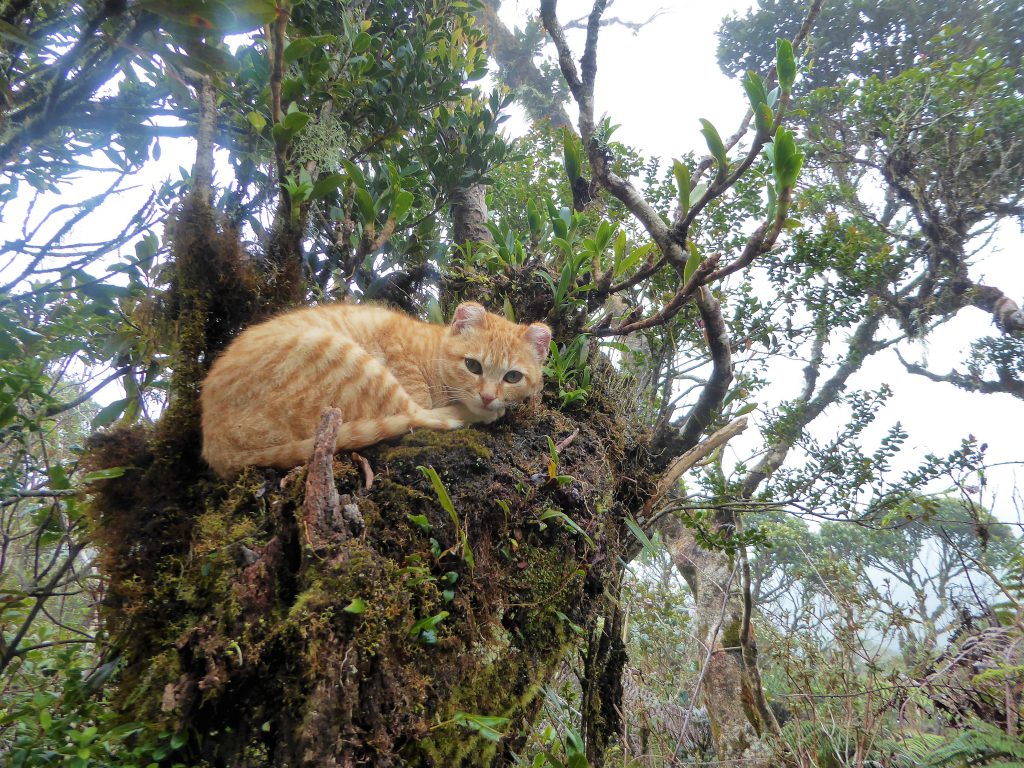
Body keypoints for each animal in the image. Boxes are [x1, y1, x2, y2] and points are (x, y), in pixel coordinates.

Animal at [200, 301, 552, 475]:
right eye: (473, 366)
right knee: (419, 416)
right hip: (345, 359)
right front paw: (481, 410)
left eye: (512, 377)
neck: (433, 351)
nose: (488, 397)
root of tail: (214, 445)